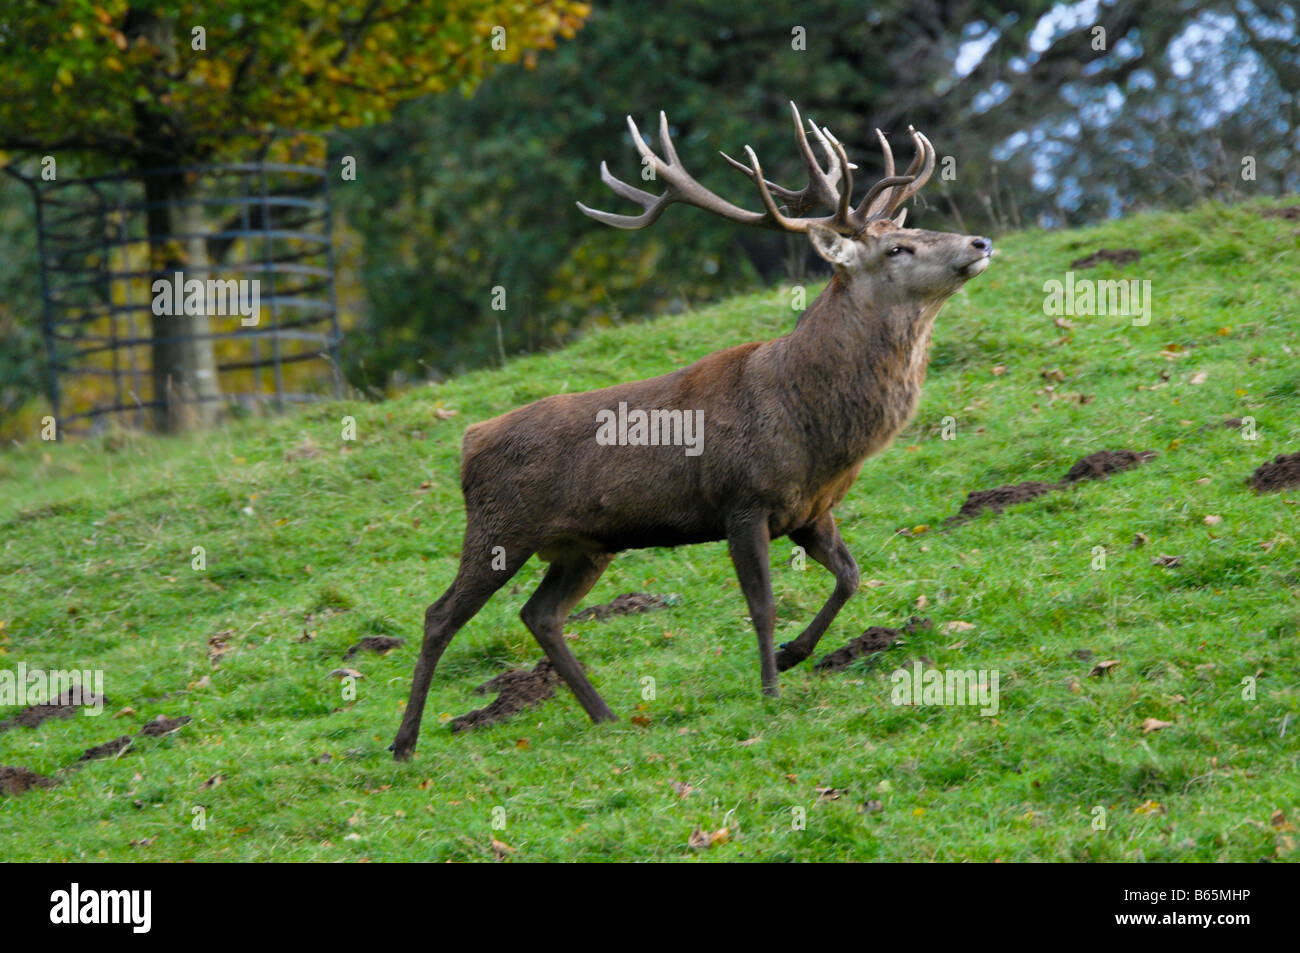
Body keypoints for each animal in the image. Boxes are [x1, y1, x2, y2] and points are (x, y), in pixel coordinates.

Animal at [391, 102, 992, 760]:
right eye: (898, 249)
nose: (980, 241)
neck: (812, 425)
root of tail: (468, 441)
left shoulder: (810, 511)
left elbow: (851, 578)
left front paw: (795, 655)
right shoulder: (741, 500)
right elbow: (763, 604)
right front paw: (771, 690)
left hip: (584, 546)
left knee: (539, 615)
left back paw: (605, 716)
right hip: (499, 528)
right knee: (439, 615)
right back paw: (404, 744)